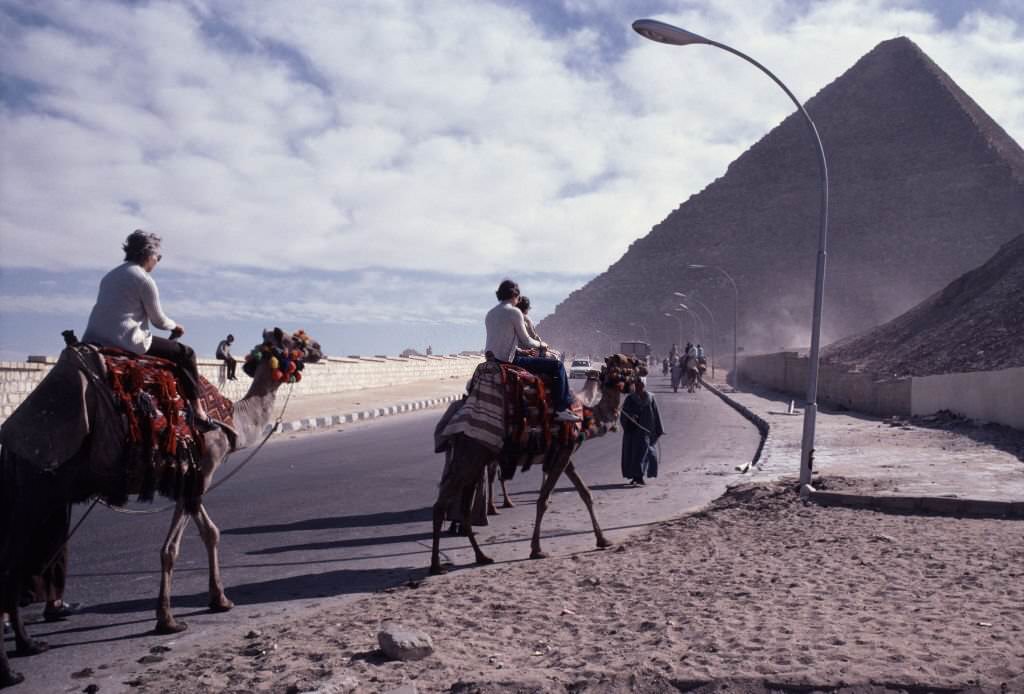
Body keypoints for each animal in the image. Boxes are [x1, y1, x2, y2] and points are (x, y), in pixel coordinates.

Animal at [1, 329, 319, 691]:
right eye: (295, 342)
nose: (318, 348)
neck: (233, 421)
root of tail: (9, 437)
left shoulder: (189, 479)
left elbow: (207, 534)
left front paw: (216, 600)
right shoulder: (201, 471)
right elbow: (180, 545)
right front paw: (170, 618)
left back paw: (28, 645)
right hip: (36, 490)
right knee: (10, 565)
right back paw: (12, 666)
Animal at [428, 354, 643, 577]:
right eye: (630, 365)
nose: (643, 368)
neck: (587, 416)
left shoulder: (565, 454)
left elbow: (585, 494)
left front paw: (603, 540)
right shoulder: (564, 451)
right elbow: (544, 500)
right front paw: (537, 550)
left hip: (473, 460)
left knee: (463, 508)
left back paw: (482, 557)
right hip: (471, 454)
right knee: (441, 505)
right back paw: (436, 566)